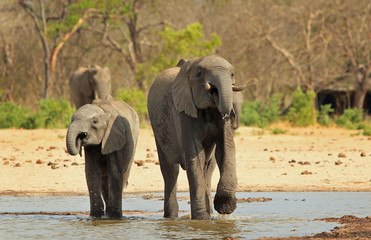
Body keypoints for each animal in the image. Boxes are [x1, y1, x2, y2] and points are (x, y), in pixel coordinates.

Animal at [148, 54, 247, 219]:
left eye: (232, 74)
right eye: (200, 74)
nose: (230, 115)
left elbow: (225, 149)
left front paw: (224, 207)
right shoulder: (183, 110)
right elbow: (195, 156)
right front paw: (201, 219)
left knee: (208, 168)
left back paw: (210, 213)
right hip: (157, 130)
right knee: (170, 171)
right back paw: (171, 217)